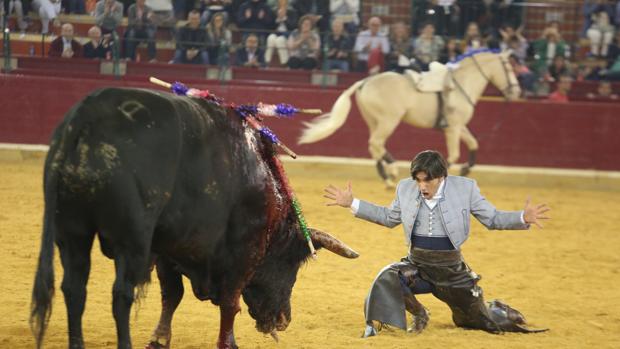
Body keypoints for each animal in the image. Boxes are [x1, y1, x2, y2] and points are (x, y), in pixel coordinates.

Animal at [29, 87, 358, 348]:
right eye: (291, 262)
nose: (283, 320)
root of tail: (86, 115)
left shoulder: (169, 251)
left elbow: (172, 295)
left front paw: (159, 339)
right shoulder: (243, 254)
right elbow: (229, 303)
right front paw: (227, 343)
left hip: (72, 232)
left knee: (74, 289)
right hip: (130, 240)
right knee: (121, 294)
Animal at [298, 50, 520, 186]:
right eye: (509, 68)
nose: (517, 91)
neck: (460, 84)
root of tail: (365, 81)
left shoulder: (458, 126)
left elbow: (474, 143)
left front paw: (466, 168)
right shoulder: (454, 128)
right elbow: (454, 154)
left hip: (373, 121)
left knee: (374, 145)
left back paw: (387, 175)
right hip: (388, 121)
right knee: (376, 143)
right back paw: (391, 173)